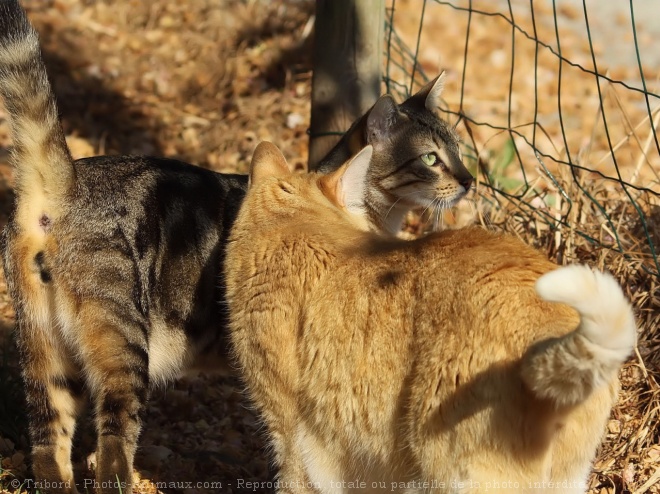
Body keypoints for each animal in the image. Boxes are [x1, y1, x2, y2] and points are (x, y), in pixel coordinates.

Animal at [1, 0, 474, 490]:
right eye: (431, 158)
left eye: (460, 150)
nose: (469, 180)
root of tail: (67, 183)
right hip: (122, 348)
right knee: (113, 447)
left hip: (44, 352)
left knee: (47, 447)